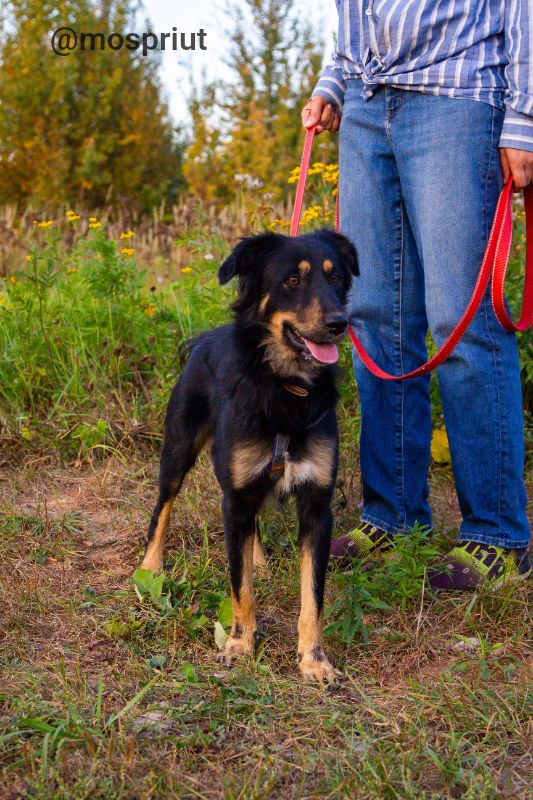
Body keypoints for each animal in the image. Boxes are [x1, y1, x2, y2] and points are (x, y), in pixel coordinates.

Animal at [140, 228, 358, 684]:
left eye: (335, 279)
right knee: (163, 505)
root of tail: (204, 337)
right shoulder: (235, 498)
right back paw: (150, 567)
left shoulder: (317, 506)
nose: (339, 323)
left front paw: (314, 659)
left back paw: (258, 559)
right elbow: (240, 585)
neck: (287, 388)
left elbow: (313, 595)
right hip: (179, 448)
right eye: (293, 280)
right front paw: (241, 644)